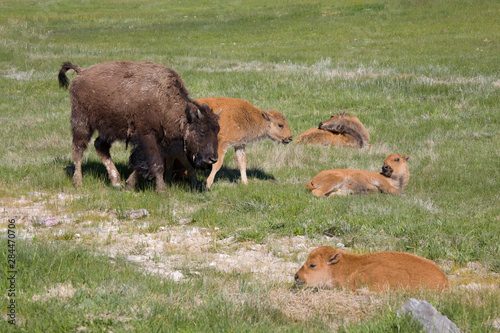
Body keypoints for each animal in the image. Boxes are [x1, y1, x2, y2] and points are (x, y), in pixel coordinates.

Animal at [58, 61, 219, 191]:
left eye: (217, 130)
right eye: (202, 131)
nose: (213, 159)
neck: (164, 100)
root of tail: (81, 73)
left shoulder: (157, 140)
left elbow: (141, 163)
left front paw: (128, 185)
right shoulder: (147, 136)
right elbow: (156, 164)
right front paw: (162, 190)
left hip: (108, 130)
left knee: (100, 147)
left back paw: (116, 182)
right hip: (81, 122)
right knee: (78, 149)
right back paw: (78, 182)